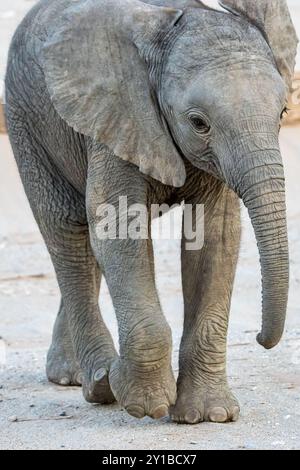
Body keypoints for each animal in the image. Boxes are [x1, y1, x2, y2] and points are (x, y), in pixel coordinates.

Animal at [4, 0, 298, 424]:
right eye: (198, 123)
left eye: (282, 113)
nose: (261, 338)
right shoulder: (116, 117)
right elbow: (117, 230)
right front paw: (142, 402)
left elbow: (215, 239)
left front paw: (208, 415)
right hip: (26, 119)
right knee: (66, 231)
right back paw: (98, 382)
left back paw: (73, 376)